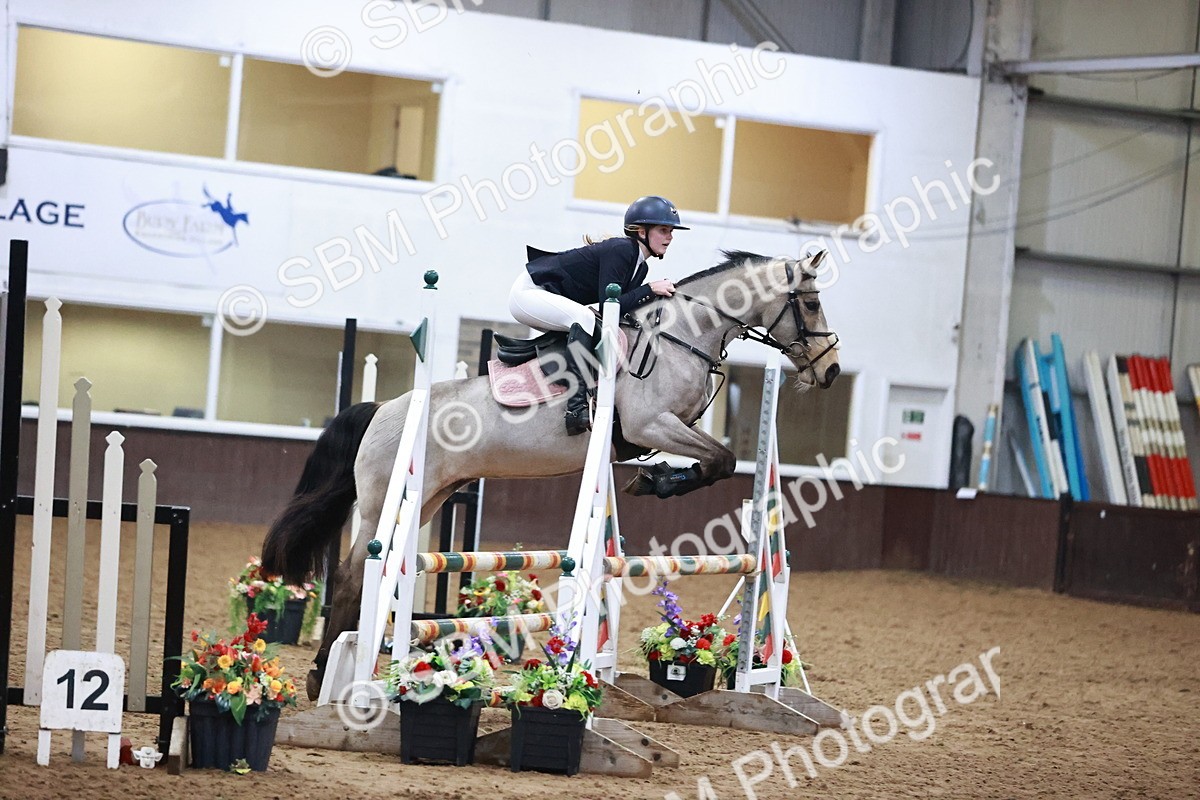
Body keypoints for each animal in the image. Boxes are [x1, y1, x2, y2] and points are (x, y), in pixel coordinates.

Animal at [261, 249, 840, 699]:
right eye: (811, 302)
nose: (830, 370)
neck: (681, 335)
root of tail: (386, 408)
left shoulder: (662, 430)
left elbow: (718, 461)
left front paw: (655, 479)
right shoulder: (651, 423)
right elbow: (720, 460)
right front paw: (655, 482)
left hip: (428, 498)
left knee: (367, 575)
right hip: (388, 502)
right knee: (351, 575)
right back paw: (323, 678)